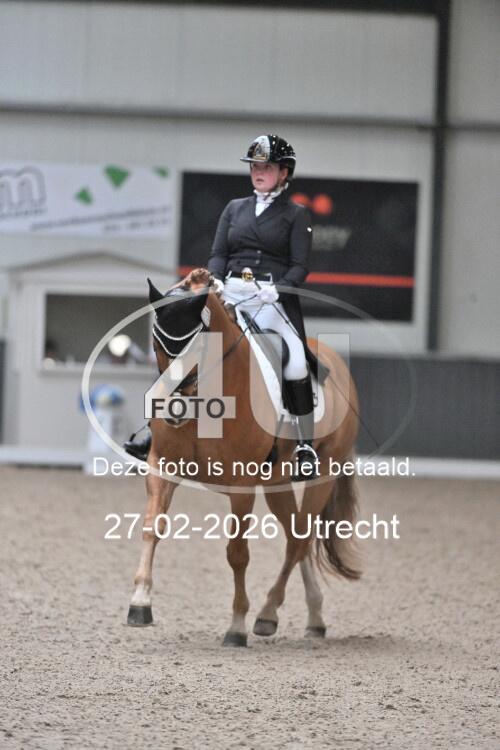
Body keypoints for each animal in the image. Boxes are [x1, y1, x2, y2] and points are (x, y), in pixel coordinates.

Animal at [127, 268, 361, 646]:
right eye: (156, 344)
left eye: (198, 345)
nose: (174, 409)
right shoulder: (161, 467)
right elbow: (152, 528)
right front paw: (140, 603)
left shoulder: (241, 486)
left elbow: (237, 554)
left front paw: (236, 625)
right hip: (277, 482)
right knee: (298, 537)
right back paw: (313, 617)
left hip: (323, 474)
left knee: (298, 542)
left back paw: (267, 614)